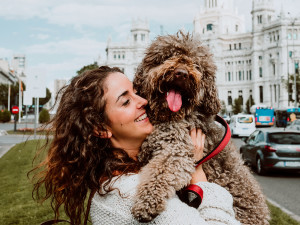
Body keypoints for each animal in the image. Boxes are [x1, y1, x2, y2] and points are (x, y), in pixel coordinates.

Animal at [131, 31, 270, 223]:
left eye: (196, 65)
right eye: (168, 56)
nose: (181, 73)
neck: (170, 116)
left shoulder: (178, 150)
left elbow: (161, 172)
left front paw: (146, 202)